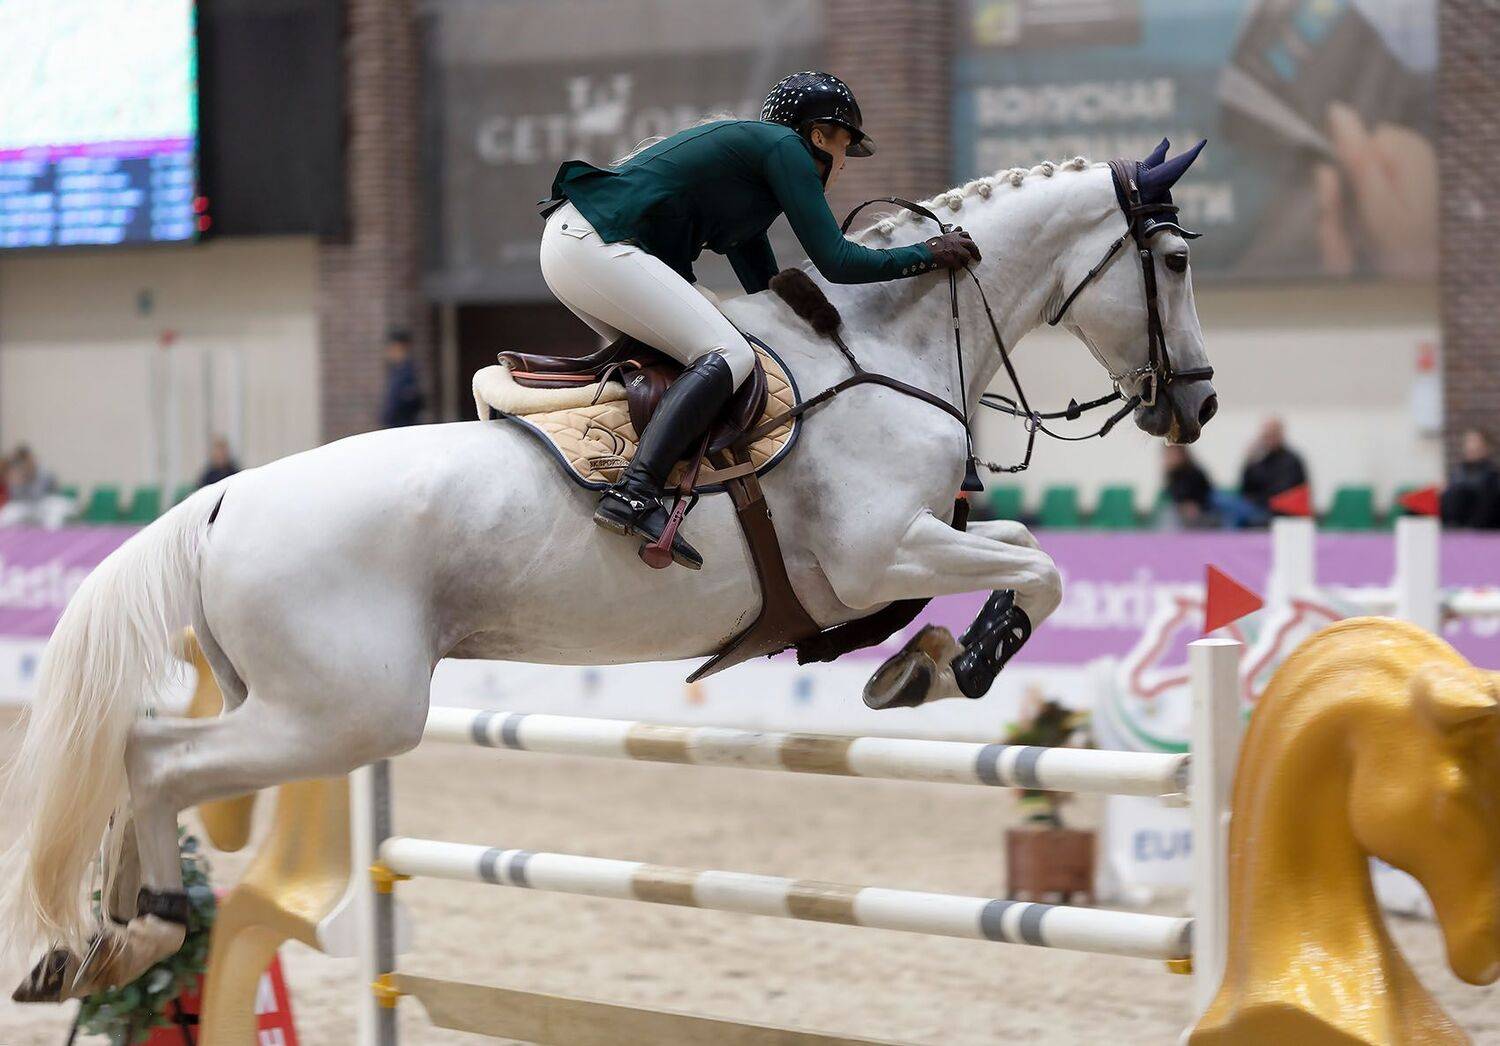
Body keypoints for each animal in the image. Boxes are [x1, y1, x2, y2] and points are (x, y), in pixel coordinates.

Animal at [2, 144, 1217, 999]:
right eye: (1173, 261)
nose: (1198, 404)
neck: (893, 349)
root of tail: (222, 499)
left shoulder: (892, 552)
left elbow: (1004, 560)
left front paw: (906, 665)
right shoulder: (882, 546)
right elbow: (1037, 568)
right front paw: (960, 661)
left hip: (295, 701)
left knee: (136, 756)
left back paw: (109, 934)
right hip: (344, 714)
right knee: (154, 757)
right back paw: (147, 922)